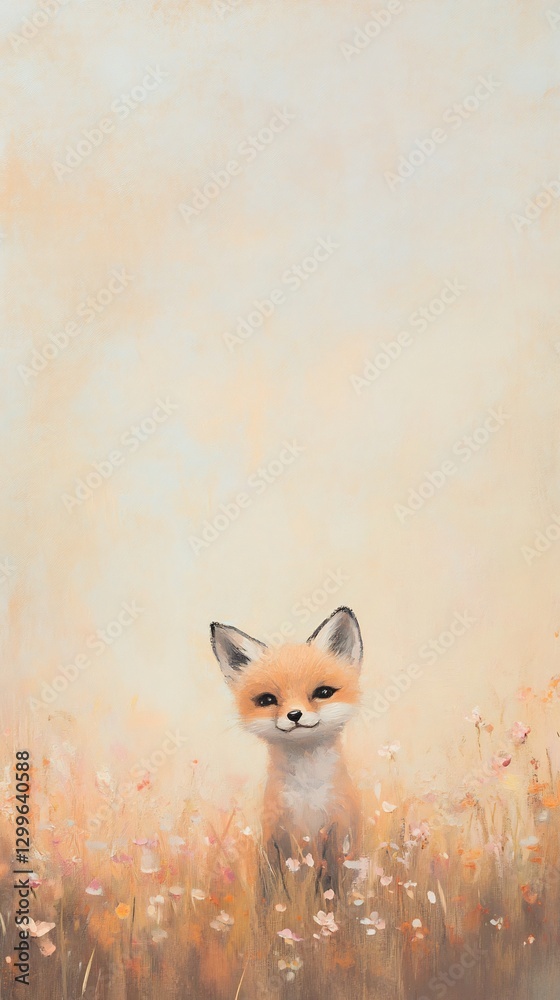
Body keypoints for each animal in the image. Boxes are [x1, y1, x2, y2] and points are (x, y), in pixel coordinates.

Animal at [210, 606, 363, 889]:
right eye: (267, 700)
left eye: (323, 692)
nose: (294, 715)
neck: (307, 794)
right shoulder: (277, 836)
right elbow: (276, 889)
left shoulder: (339, 833)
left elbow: (336, 886)